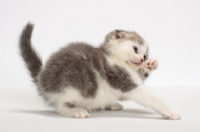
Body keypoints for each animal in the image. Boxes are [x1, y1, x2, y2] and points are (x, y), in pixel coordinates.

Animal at [19, 22, 181, 119]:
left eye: (145, 55)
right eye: (135, 49)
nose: (142, 59)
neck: (116, 59)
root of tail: (41, 77)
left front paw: (150, 65)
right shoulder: (121, 79)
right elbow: (151, 98)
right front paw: (170, 111)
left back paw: (111, 104)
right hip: (67, 85)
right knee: (59, 106)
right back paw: (75, 110)